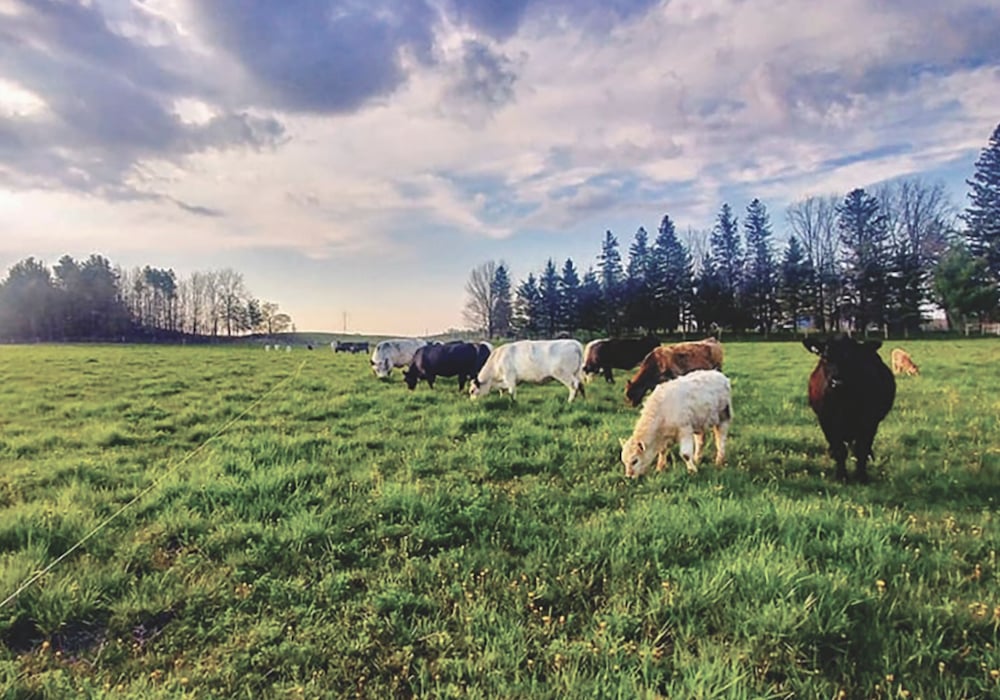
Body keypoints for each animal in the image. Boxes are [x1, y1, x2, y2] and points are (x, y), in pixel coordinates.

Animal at [804, 334, 900, 482]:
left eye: (853, 358)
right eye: (825, 357)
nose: (837, 382)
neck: (843, 401)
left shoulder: (869, 422)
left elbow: (862, 449)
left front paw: (861, 476)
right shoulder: (826, 421)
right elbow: (839, 450)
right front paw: (841, 476)